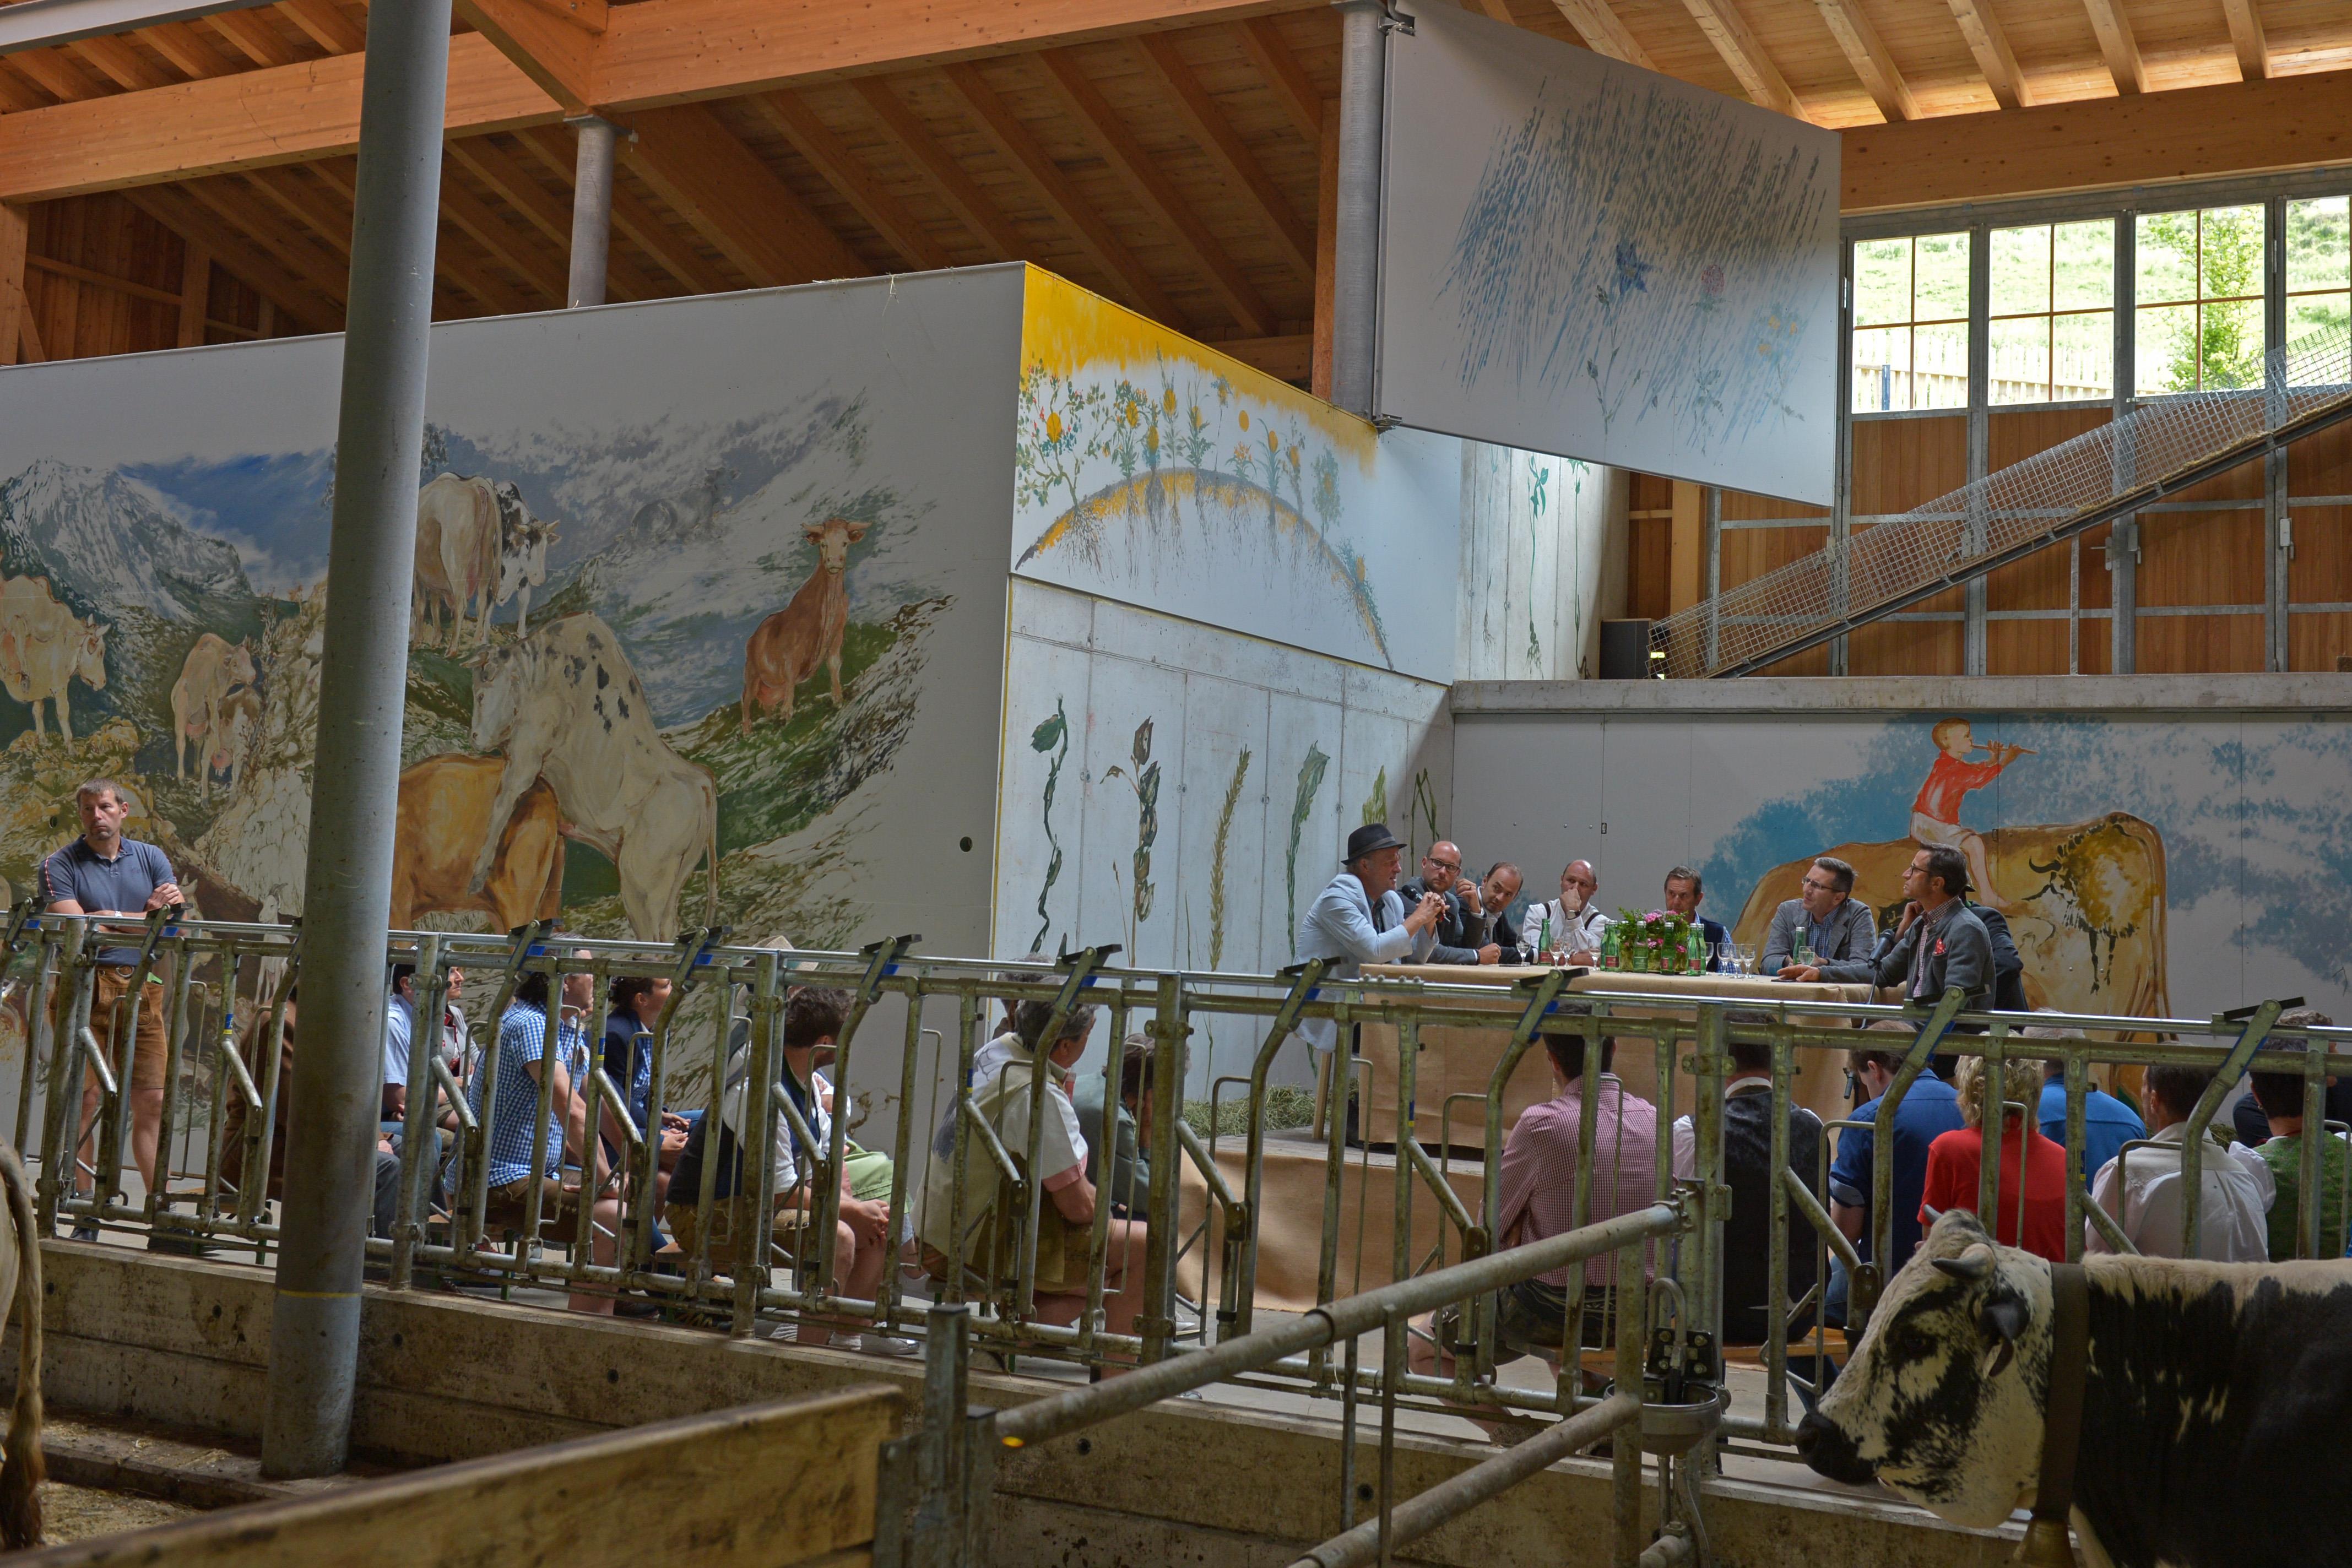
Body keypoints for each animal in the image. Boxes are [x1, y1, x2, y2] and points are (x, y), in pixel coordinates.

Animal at [0, 575, 106, 744]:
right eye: (101, 652)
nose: (103, 682)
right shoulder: (59, 687)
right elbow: (64, 712)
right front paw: (71, 747)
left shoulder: (40, 692)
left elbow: (38, 710)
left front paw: (43, 740)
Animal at [170, 632, 258, 787]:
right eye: (235, 664)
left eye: (248, 657)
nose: (252, 676)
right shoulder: (212, 698)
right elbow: (216, 724)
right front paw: (218, 750)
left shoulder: (219, 700)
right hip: (181, 719)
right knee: (181, 744)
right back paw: (181, 778)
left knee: (198, 743)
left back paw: (197, 771)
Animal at [468, 614, 718, 942]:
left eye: (481, 694)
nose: (474, 737)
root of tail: (700, 780)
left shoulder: (526, 756)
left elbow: (502, 804)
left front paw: (477, 875)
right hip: (675, 874)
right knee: (667, 928)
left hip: (642, 879)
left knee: (652, 935)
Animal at [740, 517, 867, 734]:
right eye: (823, 544)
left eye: (845, 543)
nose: (834, 562)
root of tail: (753, 637)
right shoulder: (792, 650)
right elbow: (791, 675)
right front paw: (787, 713)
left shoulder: (838, 636)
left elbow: (834, 664)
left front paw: (838, 698)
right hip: (752, 672)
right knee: (746, 698)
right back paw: (748, 730)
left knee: (767, 703)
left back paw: (770, 719)